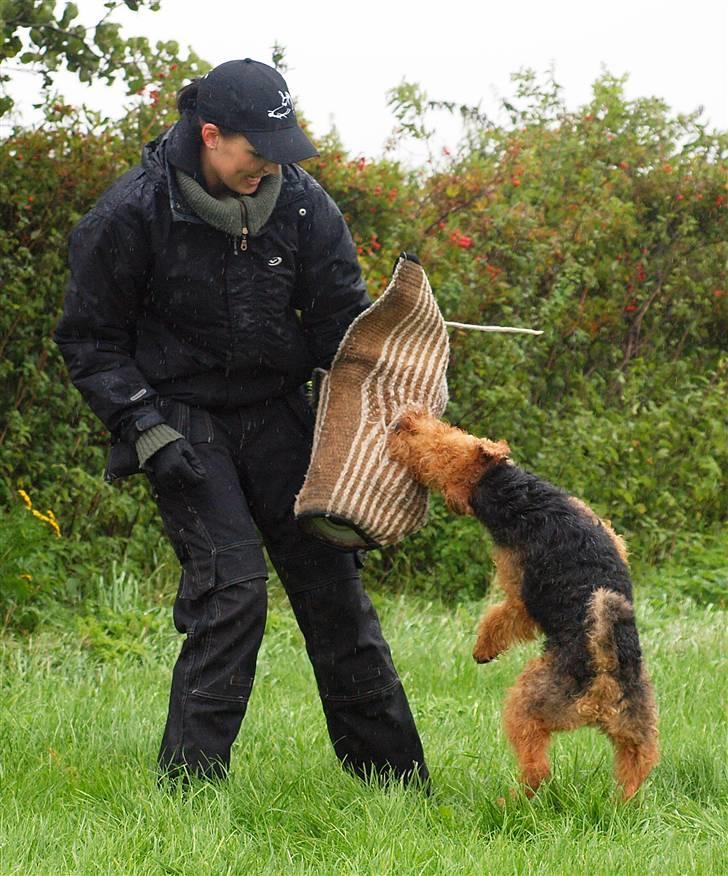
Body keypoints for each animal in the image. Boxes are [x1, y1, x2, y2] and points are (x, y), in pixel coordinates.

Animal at [386, 410, 660, 800]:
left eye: (441, 446)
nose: (406, 420)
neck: (519, 495)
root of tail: (603, 679)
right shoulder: (612, 536)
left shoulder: (520, 596)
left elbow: (499, 618)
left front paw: (482, 650)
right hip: (636, 733)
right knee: (634, 771)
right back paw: (622, 803)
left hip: (525, 705)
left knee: (536, 768)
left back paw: (510, 799)